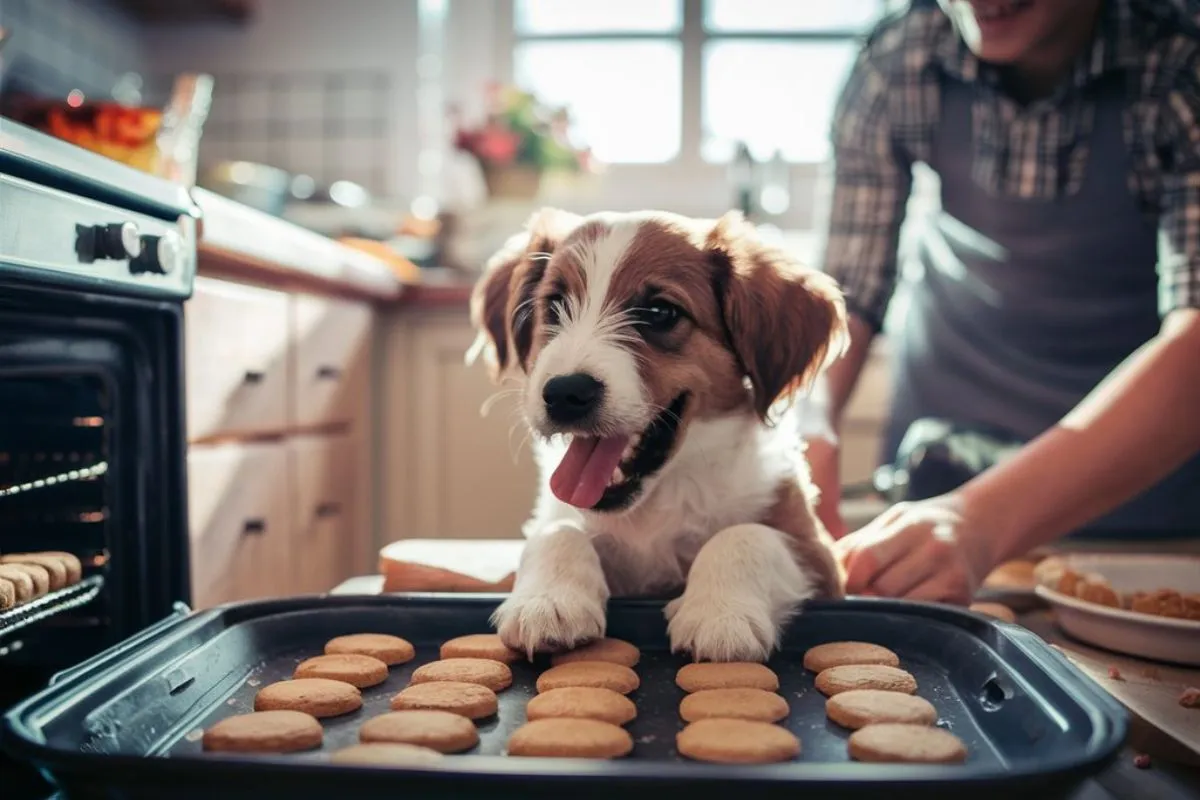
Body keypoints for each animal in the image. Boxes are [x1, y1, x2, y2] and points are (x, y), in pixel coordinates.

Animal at [468, 206, 854, 662]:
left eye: (659, 313)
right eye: (555, 304)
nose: (564, 393)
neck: (657, 498)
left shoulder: (820, 557)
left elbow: (747, 535)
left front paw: (720, 614)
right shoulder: (559, 516)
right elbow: (558, 530)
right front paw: (547, 603)